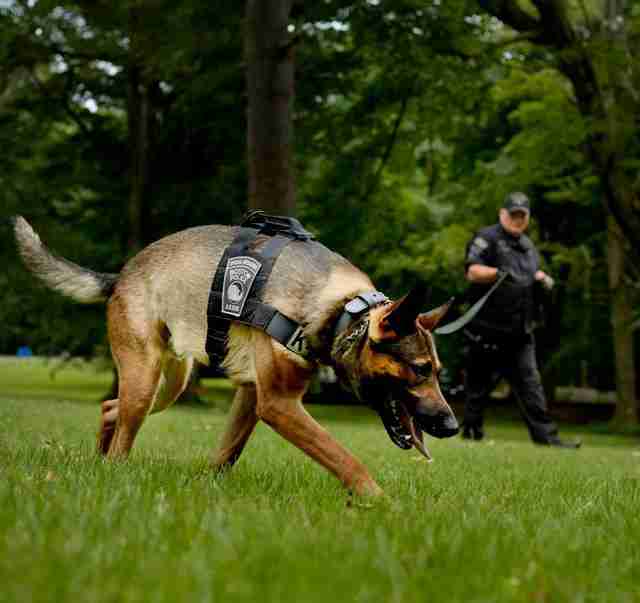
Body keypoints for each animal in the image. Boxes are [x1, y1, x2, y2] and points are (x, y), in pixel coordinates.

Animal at [12, 215, 458, 498]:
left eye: (438, 372)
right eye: (420, 370)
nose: (453, 427)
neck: (342, 311)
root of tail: (121, 274)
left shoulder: (251, 394)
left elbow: (226, 454)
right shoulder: (278, 404)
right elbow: (345, 458)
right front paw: (381, 502)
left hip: (168, 383)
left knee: (110, 409)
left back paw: (101, 462)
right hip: (144, 379)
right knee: (123, 431)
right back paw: (114, 472)